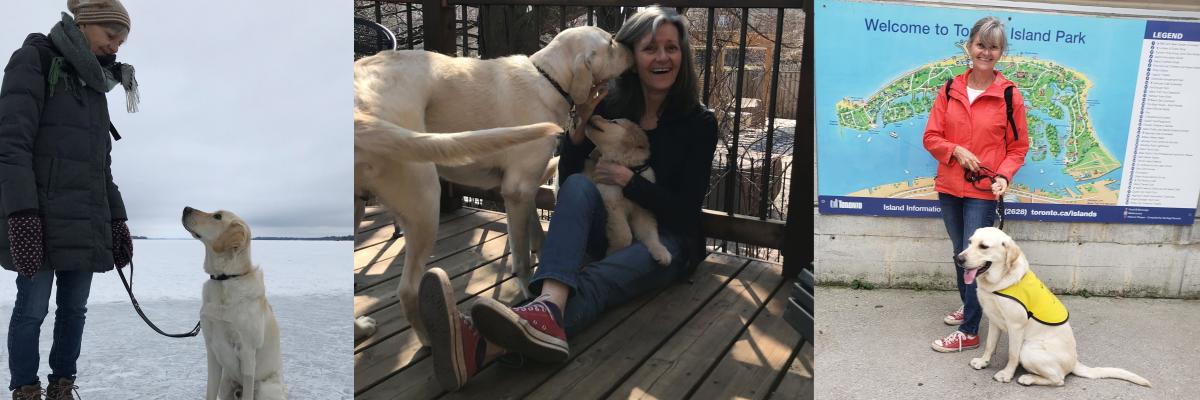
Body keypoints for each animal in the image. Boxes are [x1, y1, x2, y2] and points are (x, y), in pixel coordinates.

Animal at [182, 206, 285, 396]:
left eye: (217, 216)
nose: (186, 208)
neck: (224, 278)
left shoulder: (247, 352)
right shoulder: (211, 349)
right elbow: (210, 392)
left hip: (266, 388)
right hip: (226, 383)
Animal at [350, 25, 633, 345]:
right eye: (610, 43)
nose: (630, 46)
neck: (548, 79)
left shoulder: (524, 188)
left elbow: (537, 232)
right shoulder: (517, 190)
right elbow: (521, 257)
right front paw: (528, 293)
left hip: (358, 209)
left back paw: (360, 328)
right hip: (424, 200)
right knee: (407, 289)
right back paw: (429, 339)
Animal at [583, 115, 672, 264]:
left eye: (613, 121)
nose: (592, 115)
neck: (629, 167)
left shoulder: (643, 211)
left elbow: (651, 233)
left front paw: (661, 251)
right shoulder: (612, 204)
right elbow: (624, 234)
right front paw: (612, 252)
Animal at [960, 227, 1147, 386]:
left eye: (984, 246)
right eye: (969, 242)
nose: (958, 258)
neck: (998, 282)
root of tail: (1074, 362)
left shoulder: (1016, 326)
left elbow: (1012, 355)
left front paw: (1006, 374)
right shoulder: (994, 320)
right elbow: (990, 345)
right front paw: (983, 362)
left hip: (1028, 349)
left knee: (1059, 379)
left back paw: (1028, 378)